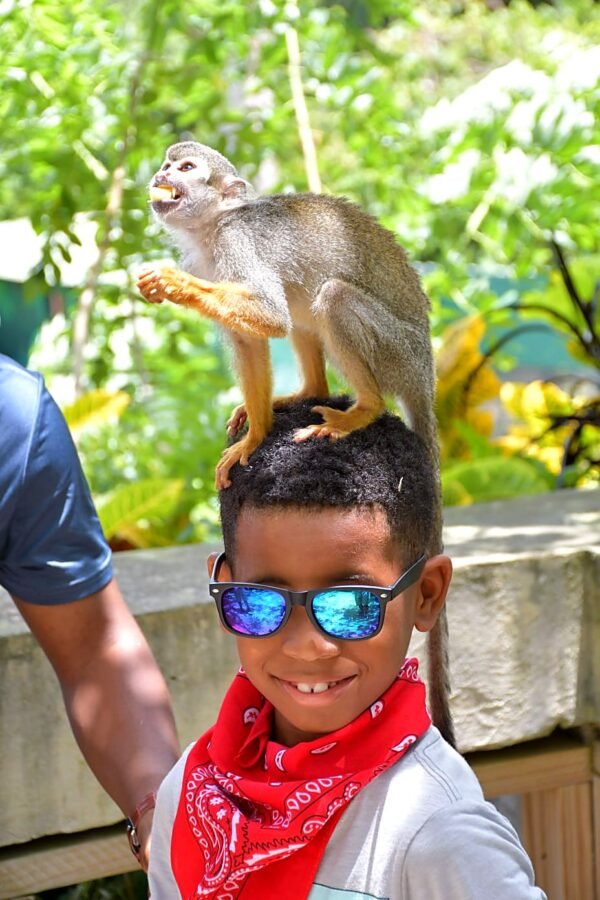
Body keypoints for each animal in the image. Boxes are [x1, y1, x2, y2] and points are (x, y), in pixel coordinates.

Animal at [137, 141, 454, 747]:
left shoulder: (236, 244)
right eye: (168, 164)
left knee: (328, 298)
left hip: (397, 353)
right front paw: (257, 436)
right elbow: (252, 337)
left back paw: (364, 409)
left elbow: (268, 314)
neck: (213, 227)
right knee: (307, 311)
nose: (161, 173)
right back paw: (307, 392)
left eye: (186, 169)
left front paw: (176, 286)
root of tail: (425, 372)